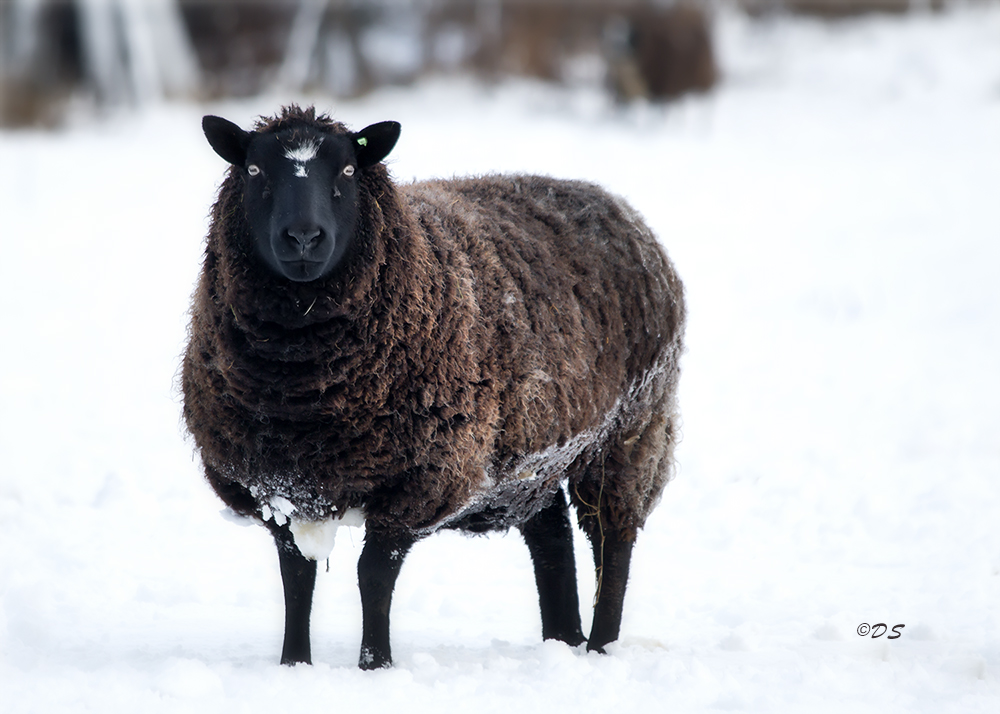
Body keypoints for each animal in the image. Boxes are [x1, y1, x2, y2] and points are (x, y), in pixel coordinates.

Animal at [184, 104, 684, 668]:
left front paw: (374, 665)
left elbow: (373, 575)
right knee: (551, 537)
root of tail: (617, 205)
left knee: (611, 539)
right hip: (529, 456)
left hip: (632, 429)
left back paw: (599, 647)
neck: (303, 392)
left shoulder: (422, 478)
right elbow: (297, 578)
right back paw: (562, 640)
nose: (304, 238)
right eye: (254, 170)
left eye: (348, 170)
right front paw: (295, 665)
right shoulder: (276, 485)